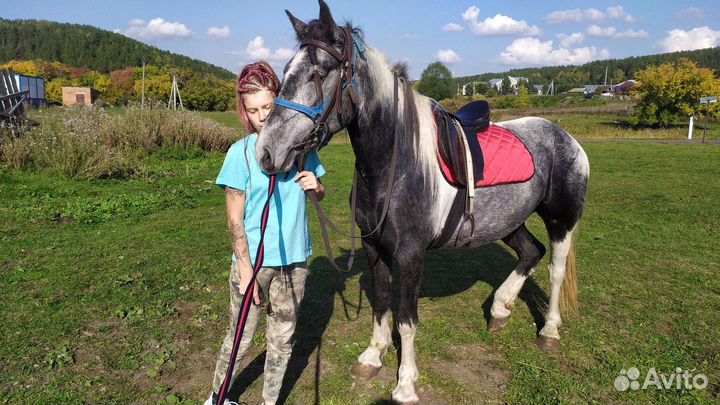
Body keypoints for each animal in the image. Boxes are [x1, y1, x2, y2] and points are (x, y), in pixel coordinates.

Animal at [256, 2, 590, 403]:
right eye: (286, 71)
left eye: (319, 73)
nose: (266, 152)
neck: (393, 165)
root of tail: (564, 136)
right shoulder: (374, 247)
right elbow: (381, 302)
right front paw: (372, 356)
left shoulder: (411, 254)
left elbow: (406, 319)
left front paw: (405, 384)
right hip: (508, 221)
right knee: (530, 252)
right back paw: (500, 309)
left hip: (561, 219)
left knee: (555, 268)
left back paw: (550, 331)